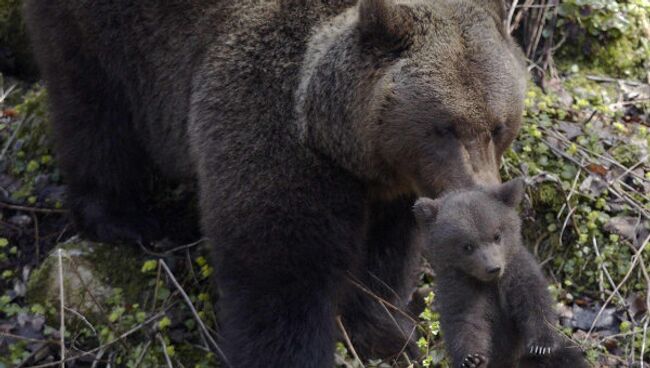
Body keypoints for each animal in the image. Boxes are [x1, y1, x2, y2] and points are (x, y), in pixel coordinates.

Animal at [24, 1, 528, 366]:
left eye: (499, 125)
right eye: (445, 127)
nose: (481, 190)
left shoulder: (397, 186)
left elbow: (388, 255)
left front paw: (385, 330)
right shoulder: (266, 120)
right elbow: (280, 269)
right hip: (104, 33)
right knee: (93, 108)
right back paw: (124, 218)